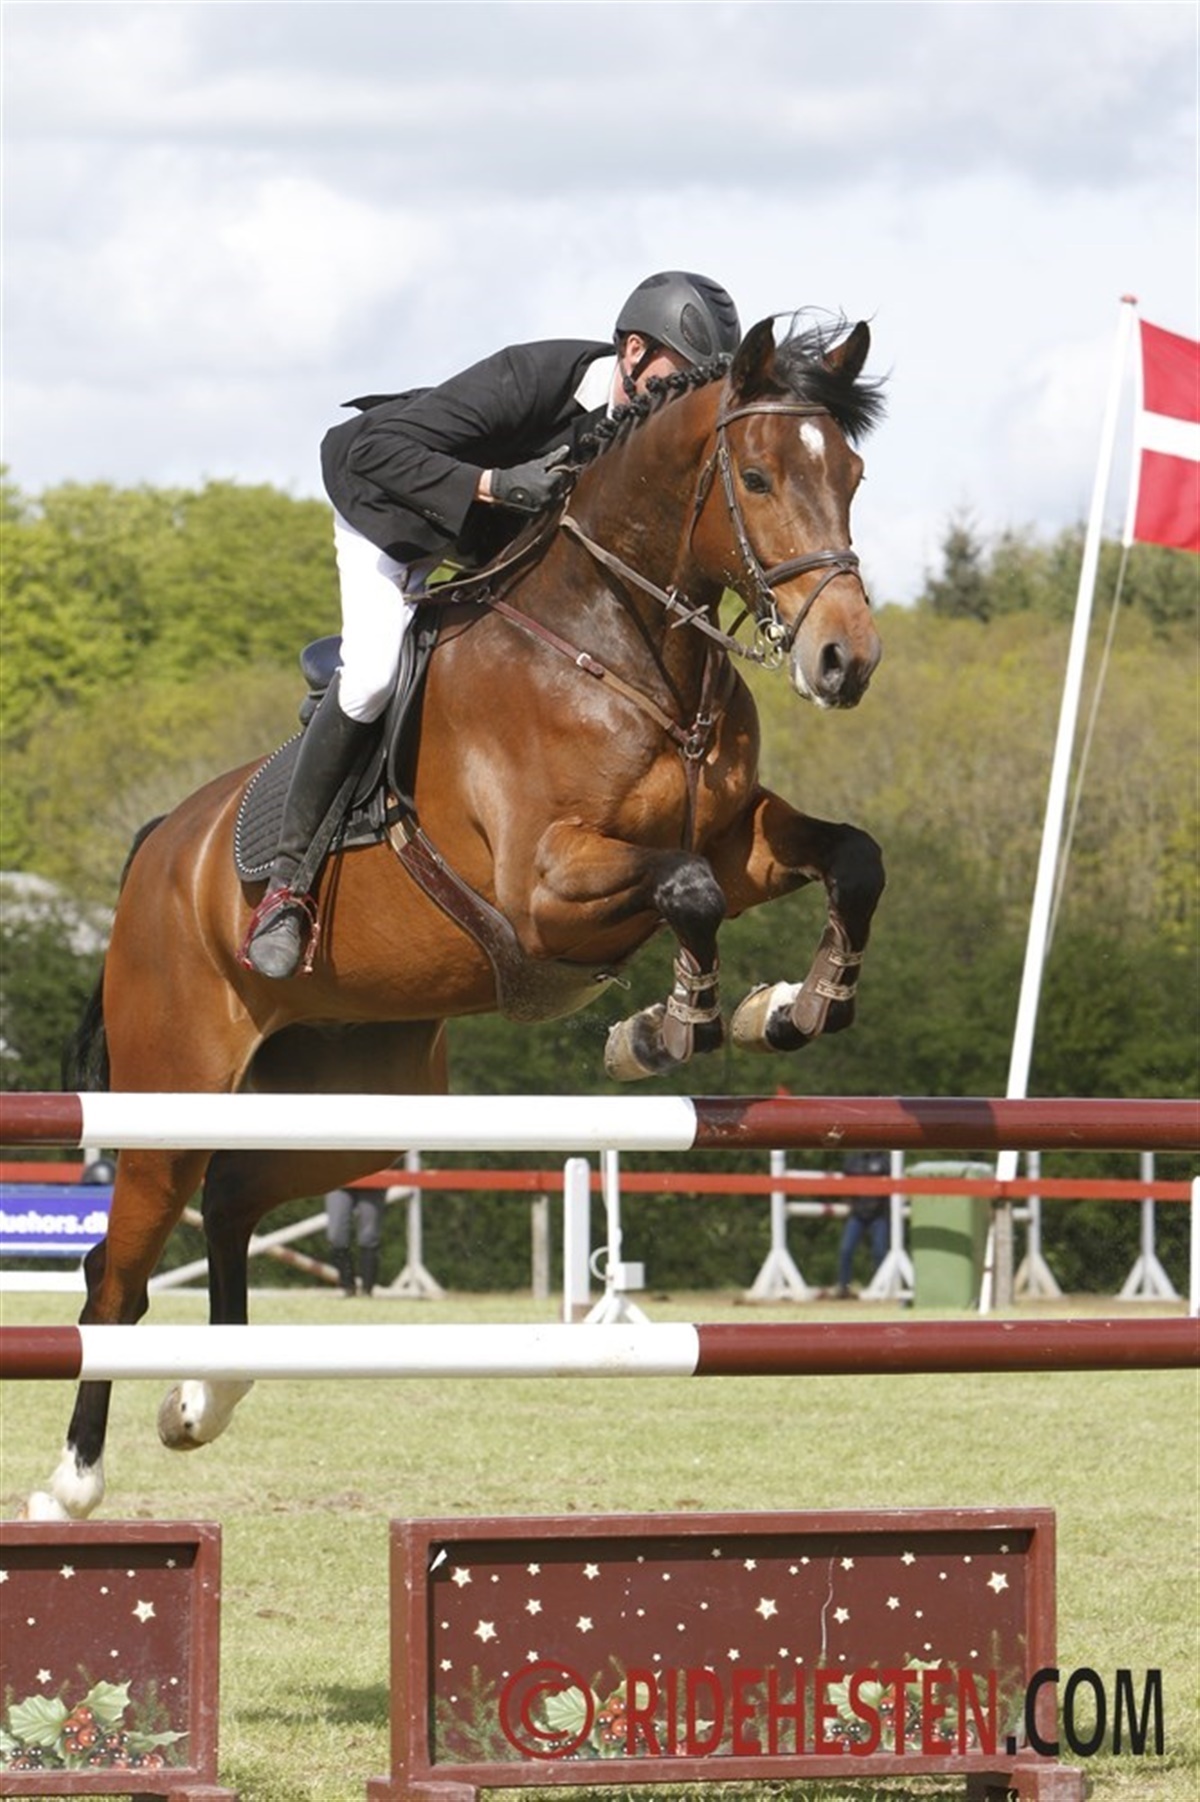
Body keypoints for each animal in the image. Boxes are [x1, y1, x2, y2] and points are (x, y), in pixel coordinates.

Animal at [26, 315, 887, 1520]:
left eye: (850, 475)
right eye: (756, 477)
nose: (844, 659)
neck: (625, 647)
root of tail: (159, 847)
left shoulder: (740, 836)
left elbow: (850, 861)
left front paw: (796, 1007)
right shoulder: (547, 887)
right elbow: (687, 891)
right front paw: (667, 1027)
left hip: (359, 1096)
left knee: (236, 1194)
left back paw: (205, 1397)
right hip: (175, 1087)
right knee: (118, 1270)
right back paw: (72, 1481)